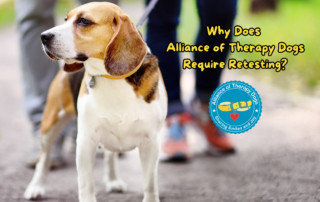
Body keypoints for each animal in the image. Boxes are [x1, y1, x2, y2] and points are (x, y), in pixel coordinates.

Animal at [23, 1, 168, 202]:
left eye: (84, 21)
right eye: (65, 19)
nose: (43, 36)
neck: (112, 78)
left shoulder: (151, 143)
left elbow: (150, 183)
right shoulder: (85, 142)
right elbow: (86, 184)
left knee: (109, 155)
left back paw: (113, 180)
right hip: (49, 125)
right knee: (43, 159)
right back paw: (35, 187)